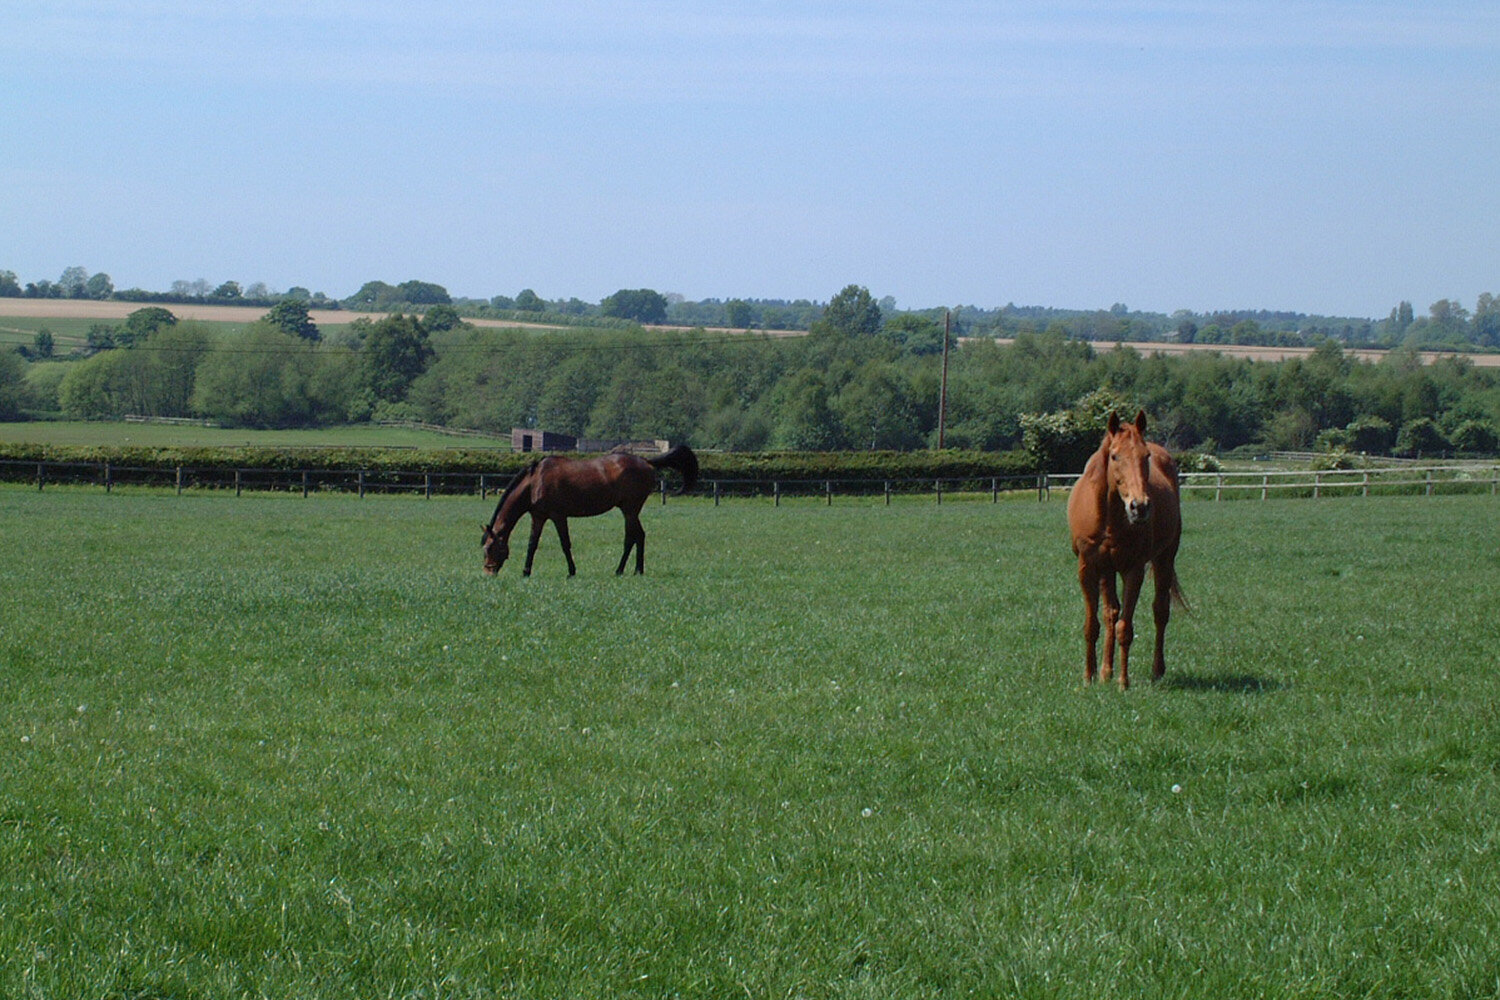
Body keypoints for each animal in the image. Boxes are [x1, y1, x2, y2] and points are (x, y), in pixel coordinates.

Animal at [477, 446, 699, 578]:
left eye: (489, 548)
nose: (488, 573)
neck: (535, 481)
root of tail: (647, 461)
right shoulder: (539, 517)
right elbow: (532, 544)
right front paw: (526, 572)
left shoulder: (558, 516)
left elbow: (565, 544)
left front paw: (571, 572)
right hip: (630, 511)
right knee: (640, 536)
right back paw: (637, 570)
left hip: (630, 510)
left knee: (631, 538)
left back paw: (621, 570)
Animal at [1068, 407, 1182, 689]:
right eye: (1115, 455)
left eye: (1145, 456)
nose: (1139, 506)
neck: (1108, 517)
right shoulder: (1088, 567)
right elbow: (1093, 624)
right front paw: (1089, 677)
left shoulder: (1134, 570)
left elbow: (1125, 628)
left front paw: (1123, 682)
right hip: (1108, 570)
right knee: (1111, 613)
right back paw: (1105, 672)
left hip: (1165, 558)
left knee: (1160, 611)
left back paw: (1156, 671)